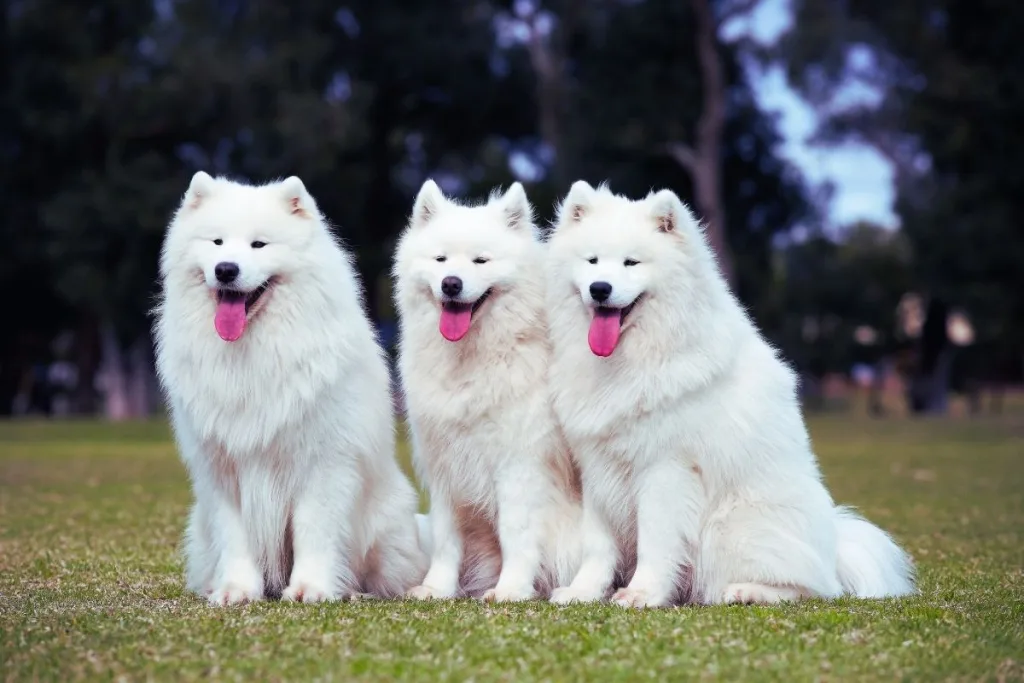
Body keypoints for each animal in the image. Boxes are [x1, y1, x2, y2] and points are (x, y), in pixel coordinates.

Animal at [151, 174, 423, 606]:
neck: (253, 350)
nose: (225, 269)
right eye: (216, 242)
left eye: (259, 245)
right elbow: (236, 537)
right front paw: (236, 590)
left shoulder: (323, 462)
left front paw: (311, 588)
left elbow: (315, 530)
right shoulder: (223, 469)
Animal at [393, 179, 585, 602]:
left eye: (481, 261)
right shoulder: (445, 465)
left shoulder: (518, 465)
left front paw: (511, 589)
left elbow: (516, 534)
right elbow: (447, 538)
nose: (451, 283)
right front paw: (437, 587)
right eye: (441, 260)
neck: (472, 360)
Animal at [544, 181, 913, 610]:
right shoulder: (597, 469)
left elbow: (656, 542)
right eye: (592, 261)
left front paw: (642, 593)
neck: (632, 357)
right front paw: (583, 591)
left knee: (813, 587)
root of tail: (834, 547)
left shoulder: (664, 469)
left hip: (731, 526)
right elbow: (598, 545)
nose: (599, 289)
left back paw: (745, 591)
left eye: (630, 263)